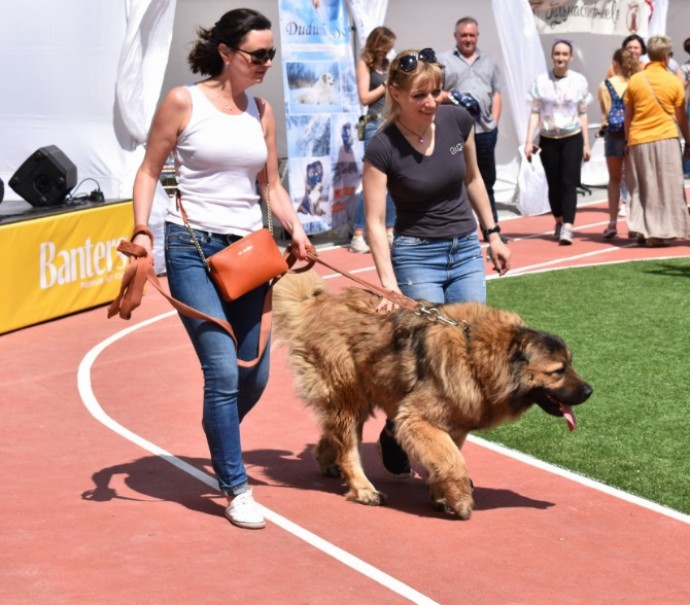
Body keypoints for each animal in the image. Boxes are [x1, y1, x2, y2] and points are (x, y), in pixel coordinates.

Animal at [272, 270, 588, 520]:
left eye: (570, 363)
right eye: (558, 371)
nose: (590, 391)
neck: (476, 355)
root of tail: (315, 304)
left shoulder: (455, 422)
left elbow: (446, 457)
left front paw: (442, 494)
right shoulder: (417, 418)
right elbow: (452, 460)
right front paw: (460, 500)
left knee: (334, 434)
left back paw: (327, 460)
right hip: (348, 394)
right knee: (348, 448)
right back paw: (363, 489)